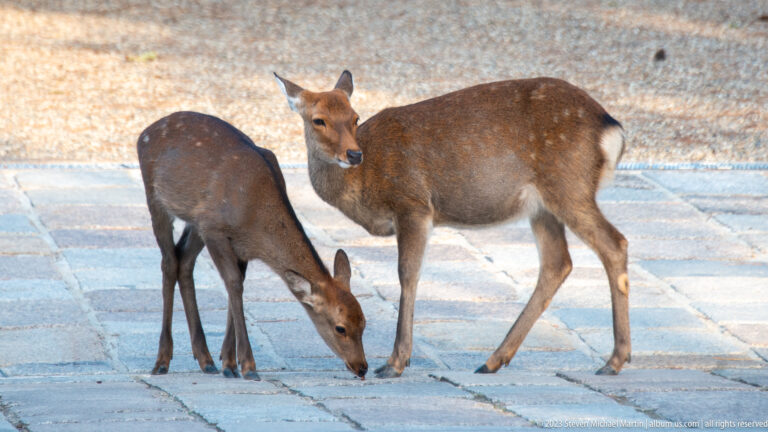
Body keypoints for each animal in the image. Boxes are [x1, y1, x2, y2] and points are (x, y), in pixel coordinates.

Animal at [137, 111, 368, 380]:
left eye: (364, 322)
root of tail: (145, 132)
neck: (256, 221)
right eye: (340, 328)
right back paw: (162, 361)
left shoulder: (239, 244)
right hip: (156, 198)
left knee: (184, 261)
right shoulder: (215, 229)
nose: (362, 367)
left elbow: (236, 286)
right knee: (169, 262)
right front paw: (247, 366)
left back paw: (205, 359)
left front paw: (228, 362)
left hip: (195, 222)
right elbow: (234, 284)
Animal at [274, 71, 630, 378]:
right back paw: (493, 360)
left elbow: (408, 275)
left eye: (355, 117)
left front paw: (395, 363)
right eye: (318, 119)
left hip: (569, 186)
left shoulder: (414, 204)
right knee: (558, 262)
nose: (353, 154)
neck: (365, 187)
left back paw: (615, 360)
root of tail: (611, 128)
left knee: (614, 244)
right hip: (542, 205)